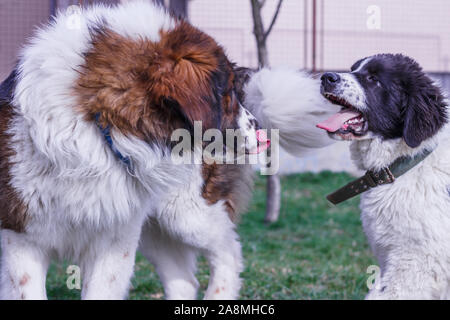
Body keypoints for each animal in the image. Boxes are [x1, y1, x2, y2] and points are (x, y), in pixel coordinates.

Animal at [0, 1, 336, 298]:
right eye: (228, 94)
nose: (259, 132)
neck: (93, 125)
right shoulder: (20, 237)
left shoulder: (114, 242)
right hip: (155, 230)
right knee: (184, 281)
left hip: (188, 215)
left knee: (228, 251)